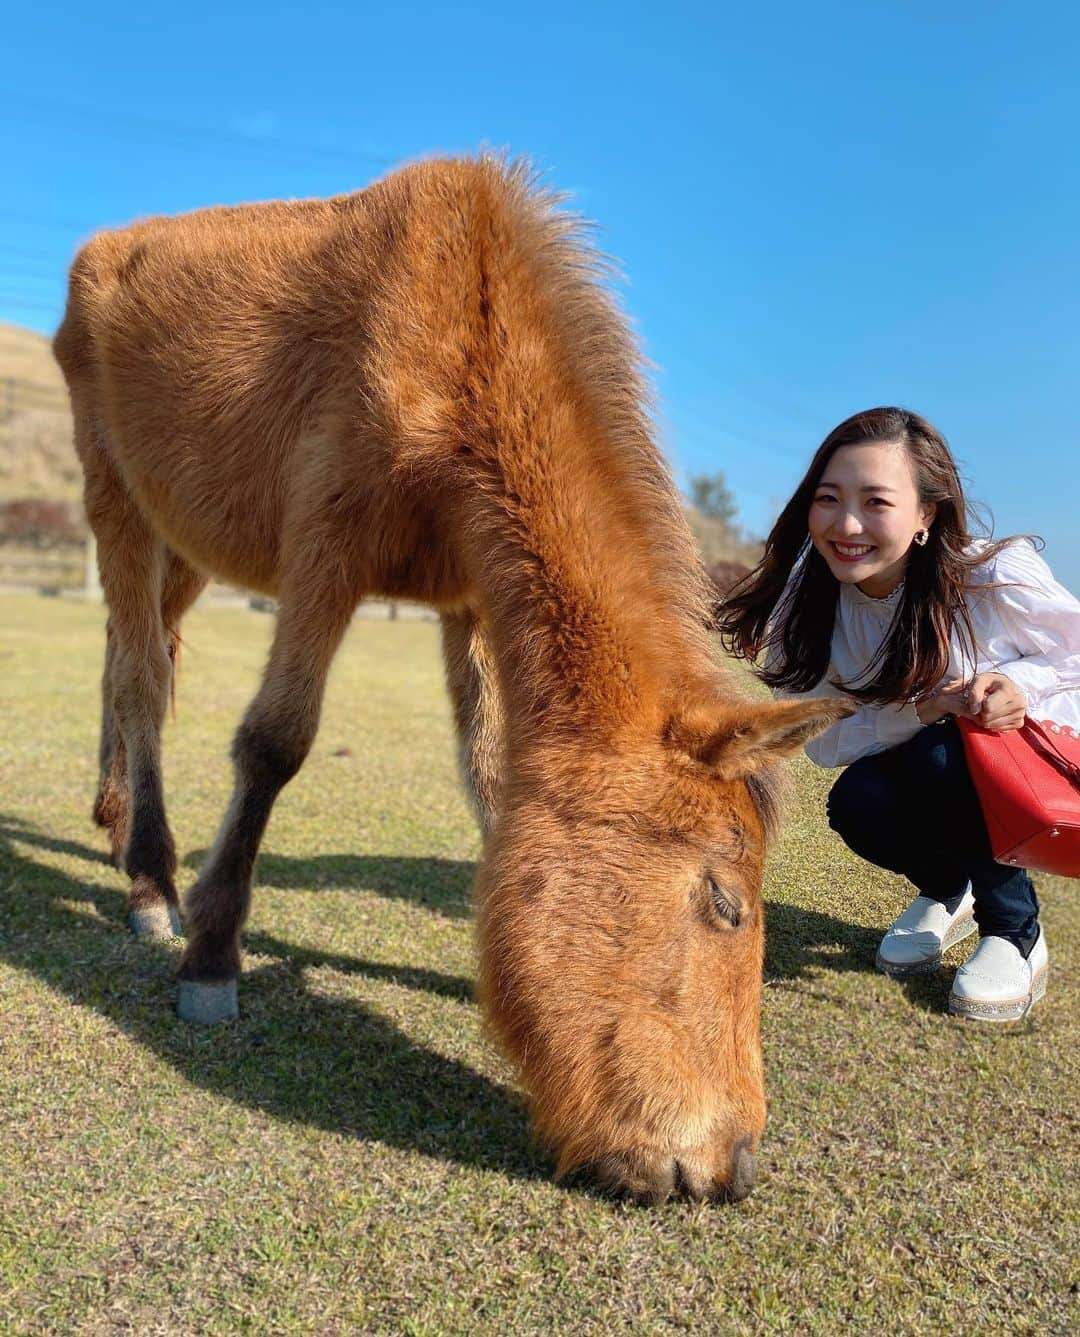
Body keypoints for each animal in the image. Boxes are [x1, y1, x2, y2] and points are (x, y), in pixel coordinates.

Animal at [52, 153, 844, 1203]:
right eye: (726, 901)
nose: (733, 1166)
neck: (463, 343)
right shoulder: (324, 555)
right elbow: (273, 743)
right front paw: (212, 956)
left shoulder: (468, 604)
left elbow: (487, 775)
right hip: (118, 499)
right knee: (142, 679)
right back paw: (149, 879)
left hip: (180, 537)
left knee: (129, 657)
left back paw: (114, 824)